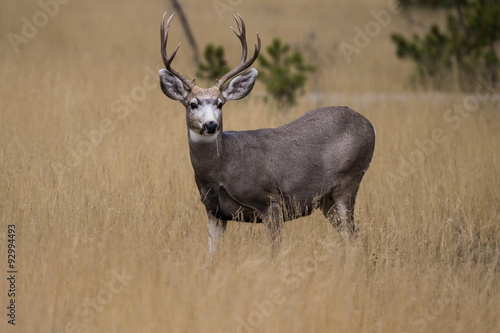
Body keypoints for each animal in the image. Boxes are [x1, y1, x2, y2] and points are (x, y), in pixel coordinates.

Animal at [158, 12, 374, 252]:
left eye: (220, 103)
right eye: (192, 104)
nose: (211, 125)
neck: (222, 168)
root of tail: (368, 124)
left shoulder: (271, 201)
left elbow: (276, 252)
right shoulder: (214, 211)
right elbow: (211, 254)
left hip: (348, 179)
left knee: (353, 236)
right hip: (326, 200)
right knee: (349, 236)